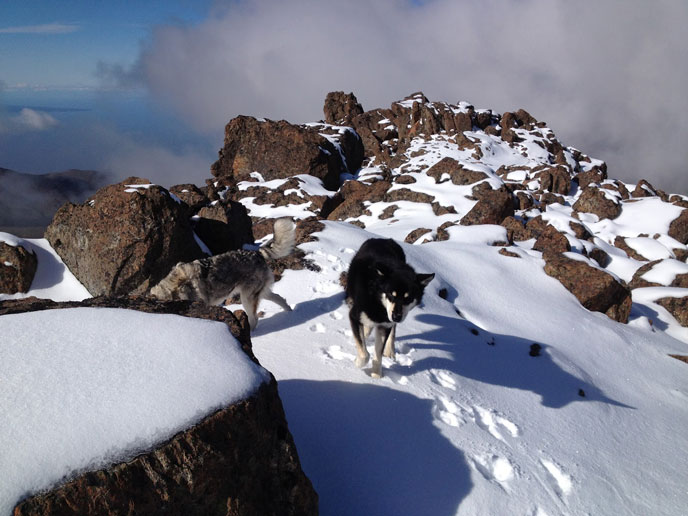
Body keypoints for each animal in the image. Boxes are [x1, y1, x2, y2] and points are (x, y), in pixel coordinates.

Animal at [344, 239, 436, 378]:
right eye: (391, 294)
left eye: (408, 298)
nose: (396, 317)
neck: (377, 300)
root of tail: (384, 239)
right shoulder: (355, 315)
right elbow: (365, 354)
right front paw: (358, 363)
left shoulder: (385, 324)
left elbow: (378, 355)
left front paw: (376, 377)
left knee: (392, 332)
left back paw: (389, 350)